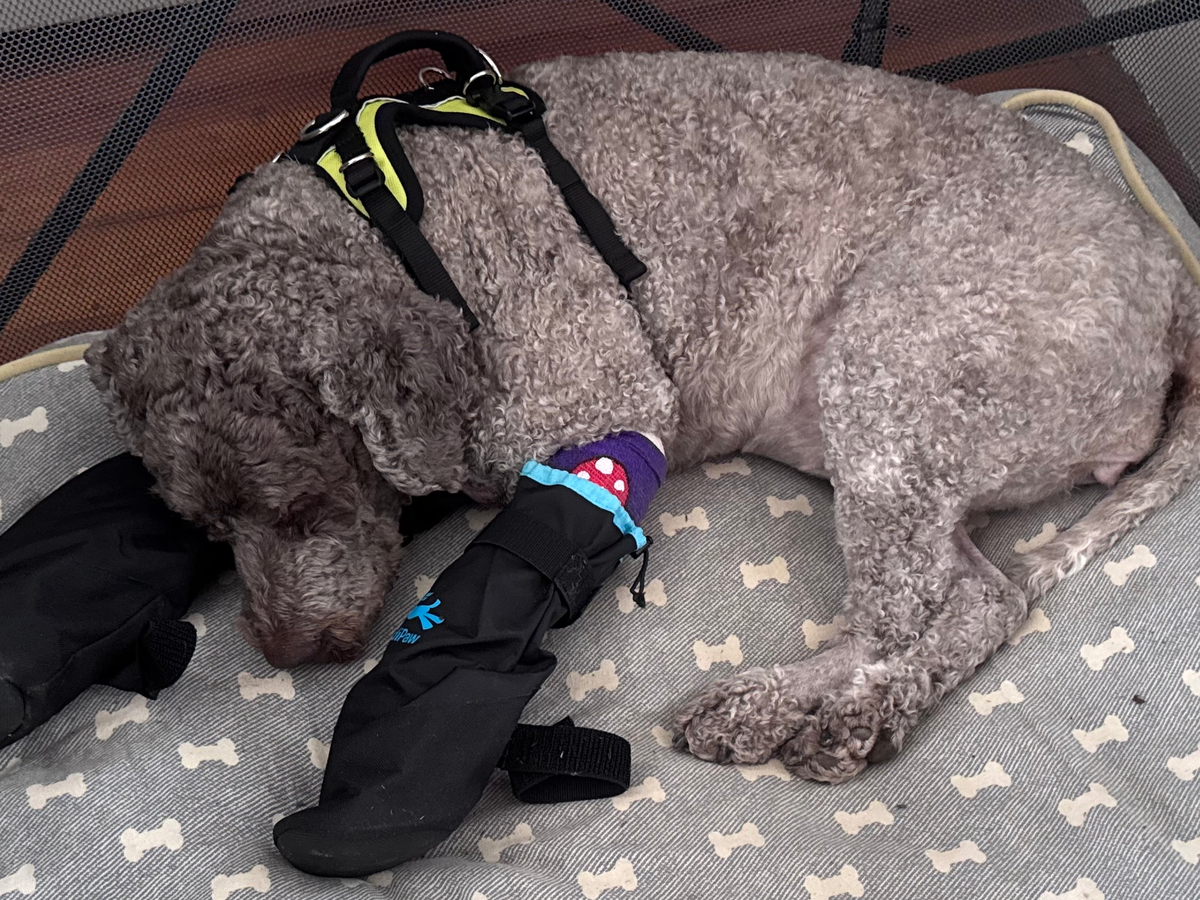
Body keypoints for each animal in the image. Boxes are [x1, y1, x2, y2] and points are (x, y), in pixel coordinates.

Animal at [87, 50, 1200, 784]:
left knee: (903, 610)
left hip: (898, 365)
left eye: (305, 509)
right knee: (986, 600)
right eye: (208, 530)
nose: (286, 652)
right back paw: (863, 714)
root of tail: (1174, 280)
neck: (393, 226)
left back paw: (786, 707)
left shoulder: (595, 403)